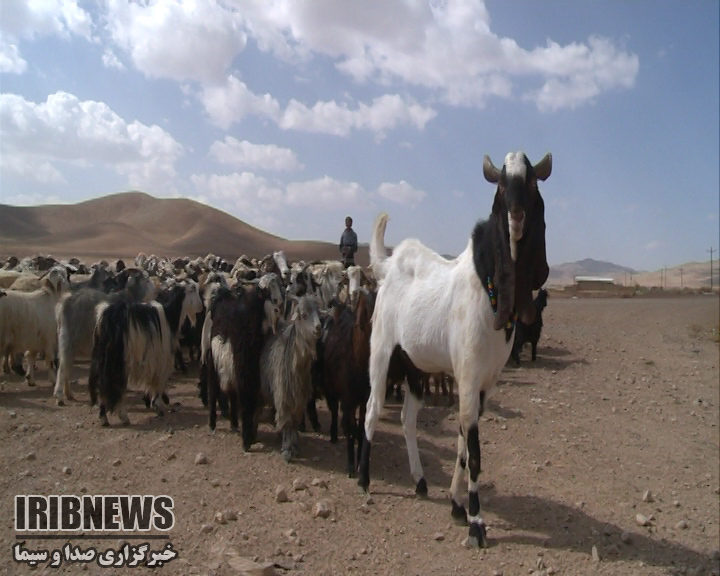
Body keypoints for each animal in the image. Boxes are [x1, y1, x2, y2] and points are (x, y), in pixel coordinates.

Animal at [358, 151, 552, 548]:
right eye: (501, 186)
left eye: (531, 183)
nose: (516, 217)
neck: (486, 285)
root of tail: (389, 266)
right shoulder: (466, 377)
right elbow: (474, 452)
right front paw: (477, 522)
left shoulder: (485, 385)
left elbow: (463, 446)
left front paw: (456, 505)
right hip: (381, 353)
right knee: (371, 410)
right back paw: (365, 479)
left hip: (415, 368)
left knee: (408, 419)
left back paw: (419, 481)